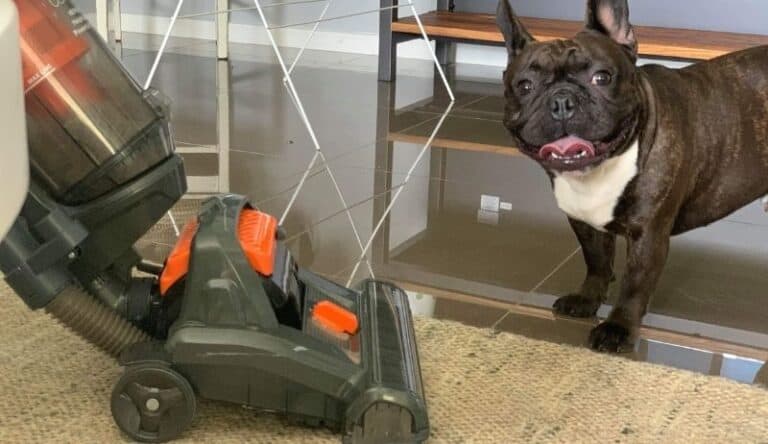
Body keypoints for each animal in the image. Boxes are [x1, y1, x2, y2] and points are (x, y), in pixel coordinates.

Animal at [496, 0, 768, 354]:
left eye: (602, 77)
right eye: (525, 86)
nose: (562, 101)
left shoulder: (648, 234)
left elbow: (635, 283)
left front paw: (618, 328)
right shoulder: (584, 222)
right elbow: (597, 262)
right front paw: (587, 299)